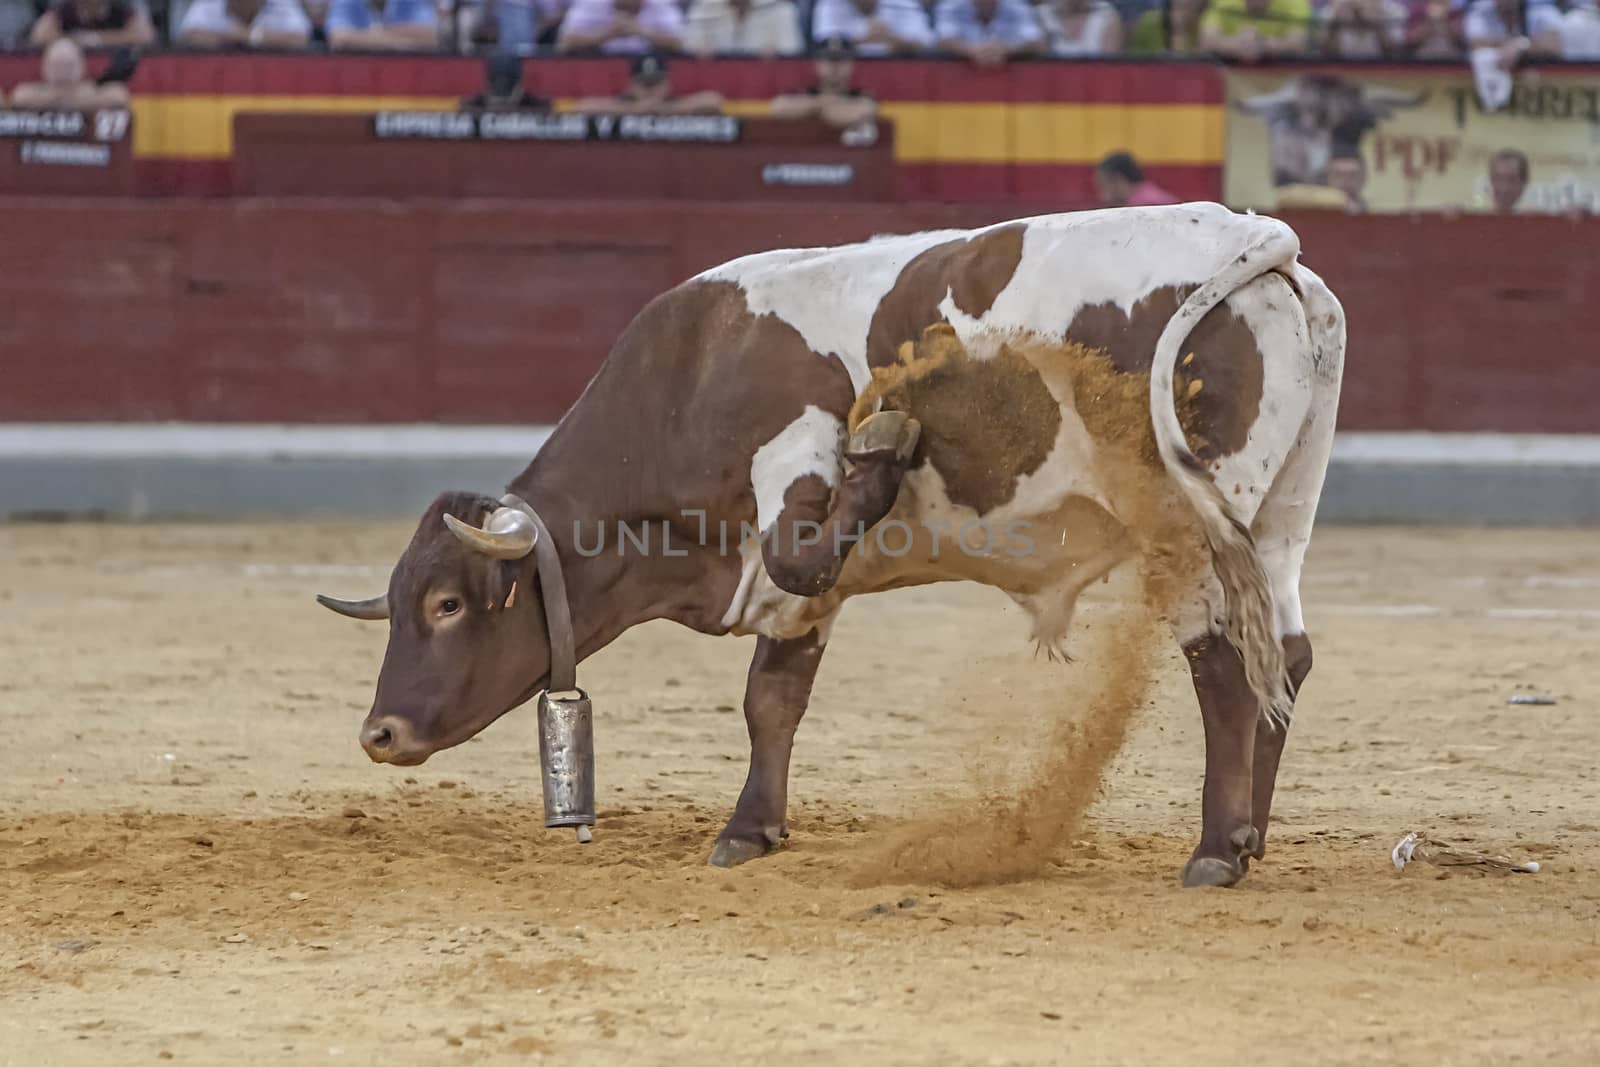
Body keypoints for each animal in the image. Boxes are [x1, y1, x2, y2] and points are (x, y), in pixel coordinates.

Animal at [318, 204, 1344, 889]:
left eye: (448, 603)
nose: (379, 733)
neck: (695, 373)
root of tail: (1255, 241)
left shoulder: (794, 471)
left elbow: (797, 561)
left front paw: (885, 447)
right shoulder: (795, 605)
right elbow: (772, 698)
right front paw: (749, 828)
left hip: (1194, 526)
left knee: (1223, 665)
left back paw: (1214, 850)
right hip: (1279, 518)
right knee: (1280, 657)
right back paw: (1250, 834)